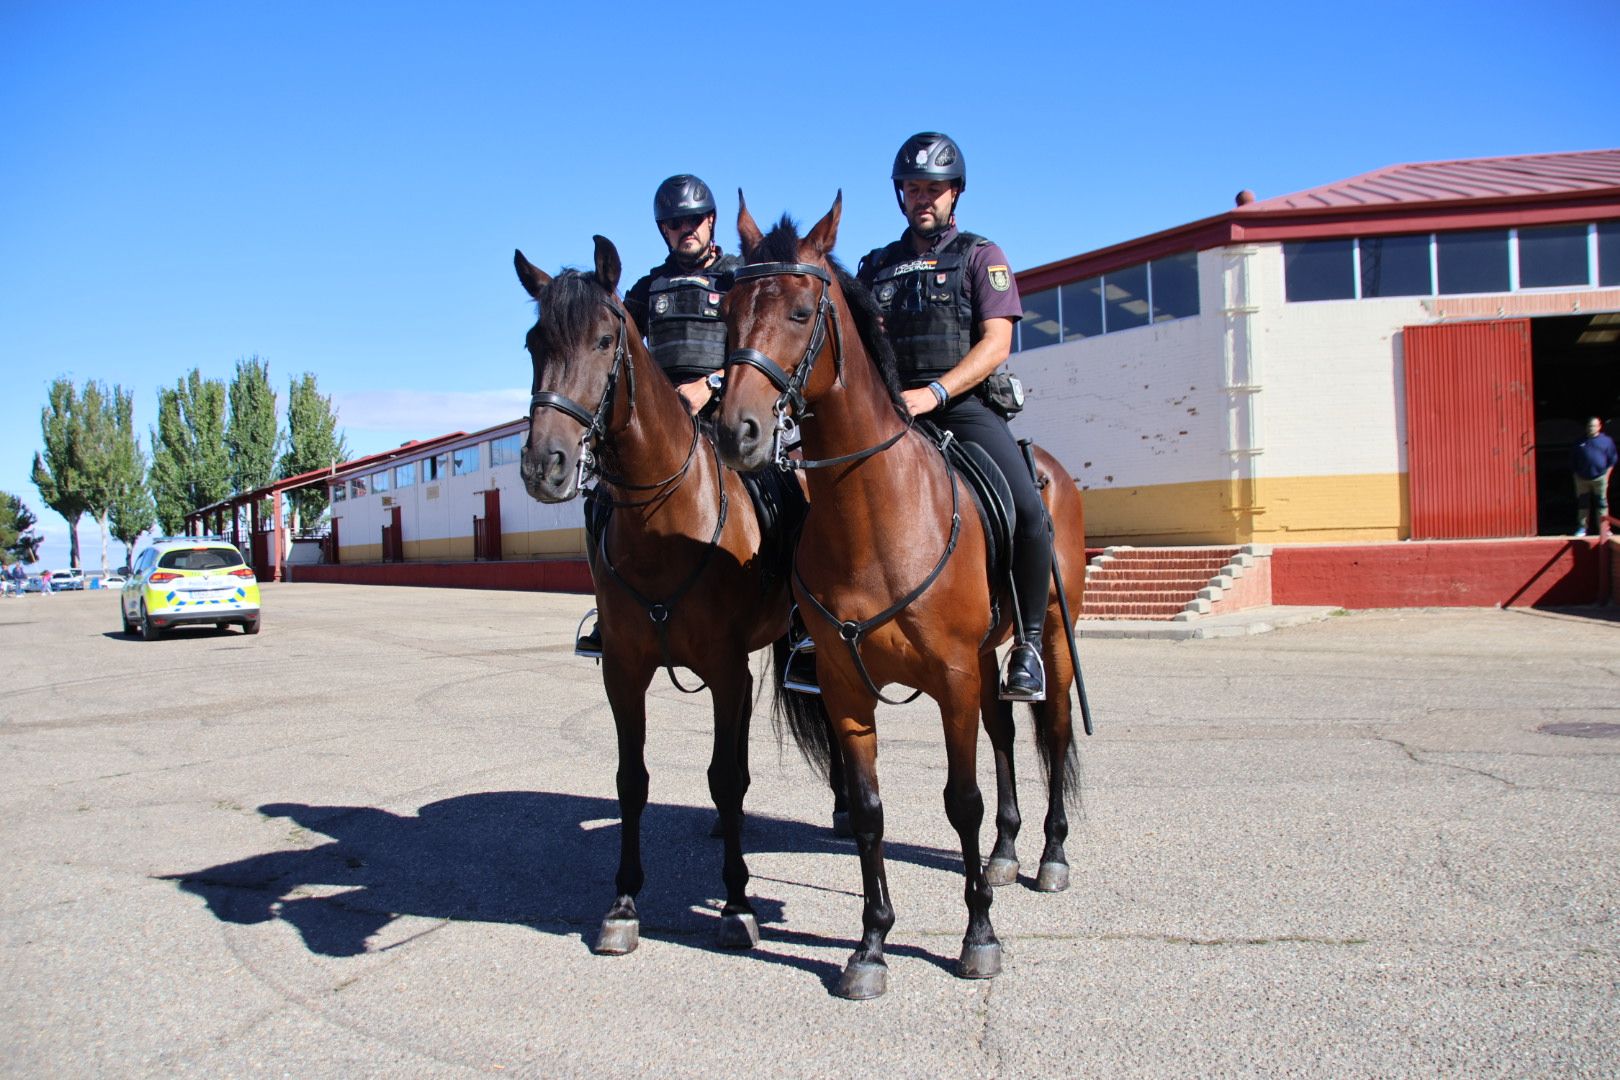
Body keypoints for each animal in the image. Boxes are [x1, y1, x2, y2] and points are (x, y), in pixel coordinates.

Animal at [511, 234, 842, 952]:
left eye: (605, 339)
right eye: (533, 342)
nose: (545, 465)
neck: (665, 521)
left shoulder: (722, 666)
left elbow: (725, 776)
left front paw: (737, 902)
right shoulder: (626, 671)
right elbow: (631, 780)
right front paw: (623, 903)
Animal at [712, 194, 1082, 997]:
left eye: (799, 311)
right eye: (726, 313)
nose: (736, 433)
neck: (874, 515)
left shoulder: (950, 679)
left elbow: (961, 802)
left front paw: (978, 938)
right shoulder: (847, 688)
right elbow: (870, 813)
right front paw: (871, 945)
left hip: (1048, 645)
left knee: (1052, 729)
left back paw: (1049, 856)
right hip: (986, 659)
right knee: (1006, 735)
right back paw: (1006, 855)